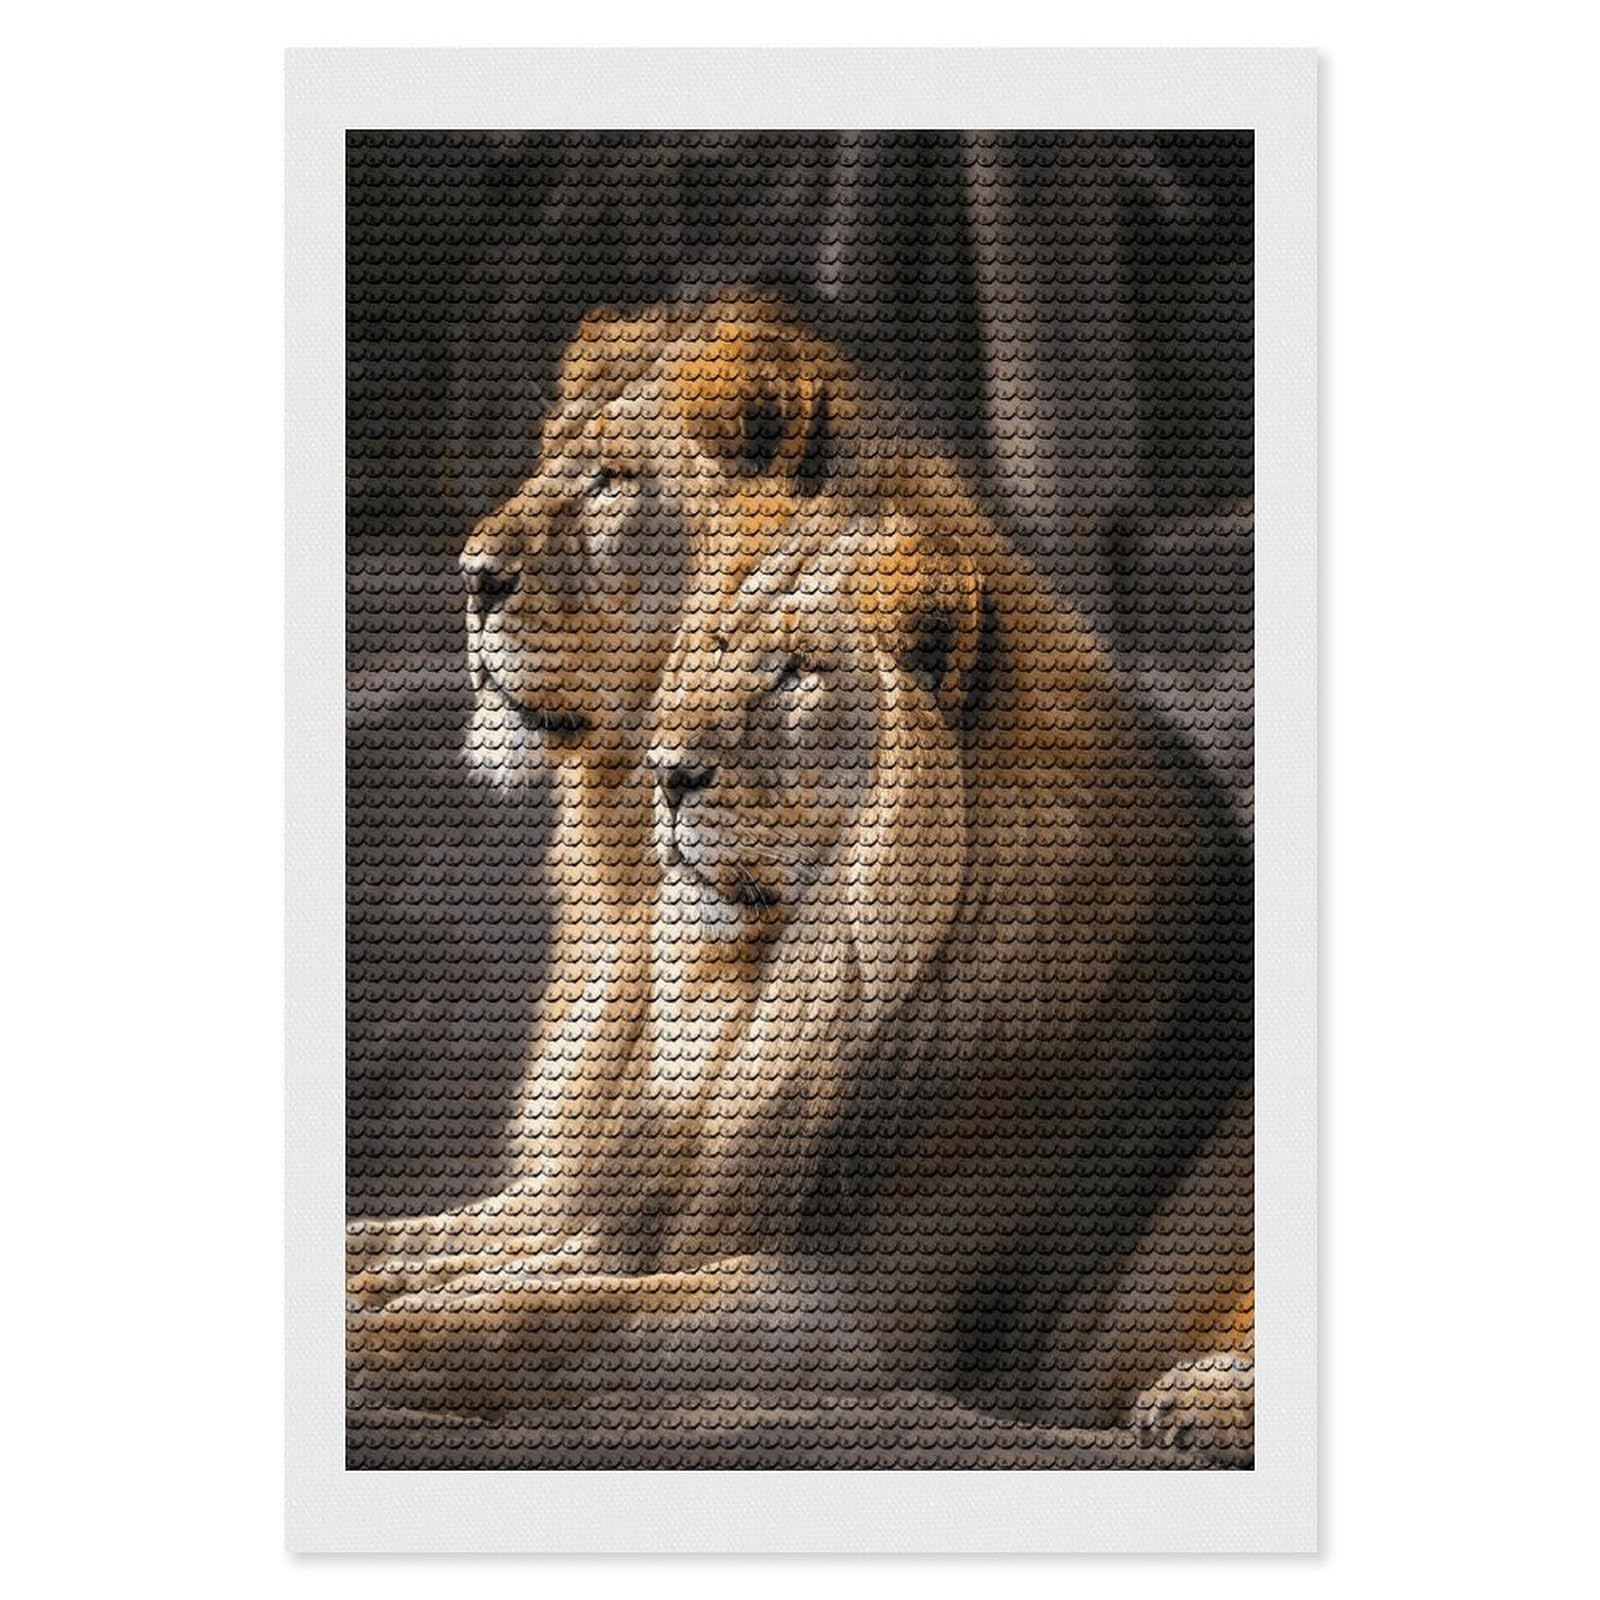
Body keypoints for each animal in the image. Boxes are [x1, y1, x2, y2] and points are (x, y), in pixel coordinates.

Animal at [350, 484, 1253, 1450]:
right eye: (712, 650)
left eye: (793, 671)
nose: (667, 773)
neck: (790, 991)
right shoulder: (657, 1202)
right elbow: (450, 1243)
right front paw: (370, 1280)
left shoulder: (868, 1310)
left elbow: (566, 1314)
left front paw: (377, 1341)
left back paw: (1194, 1401)